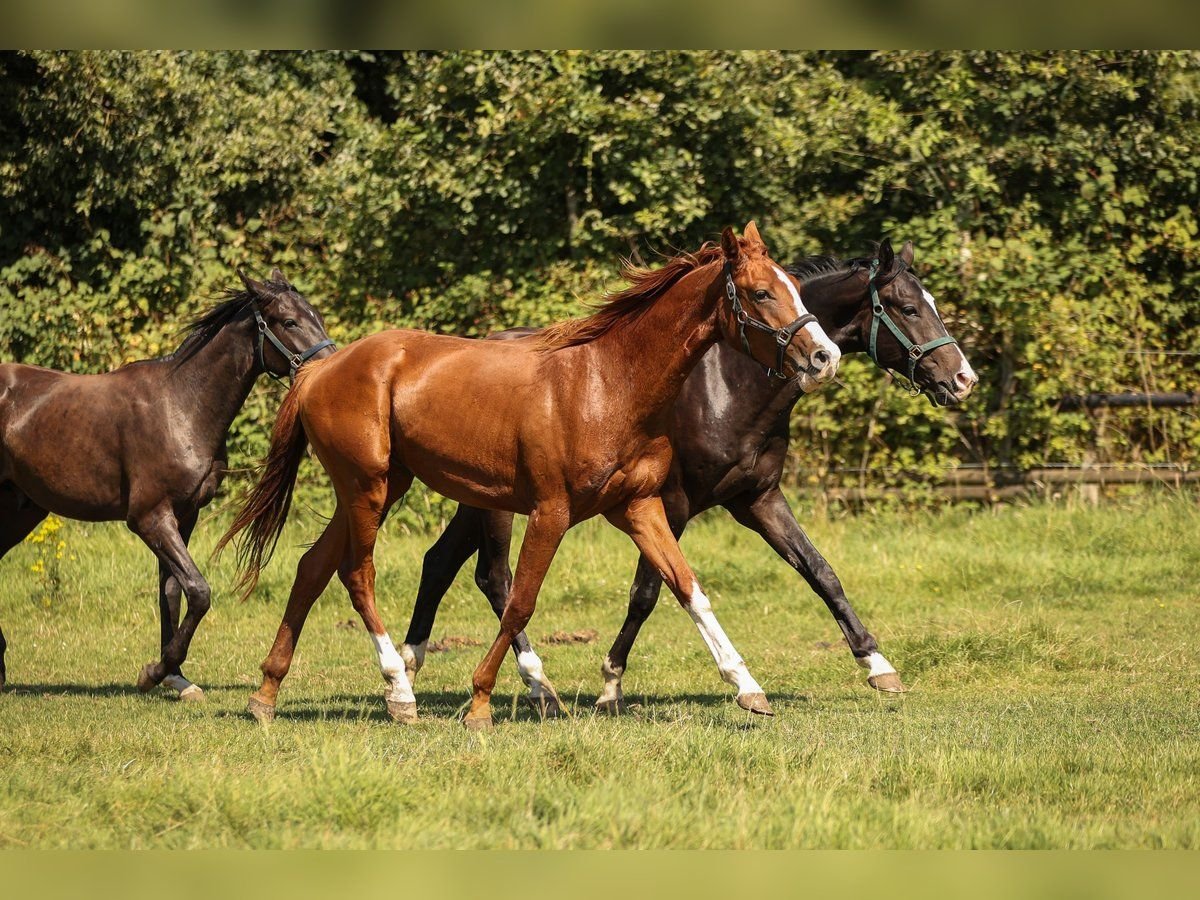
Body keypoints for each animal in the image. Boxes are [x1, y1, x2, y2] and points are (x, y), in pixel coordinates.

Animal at [0, 267, 333, 696]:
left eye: (317, 316)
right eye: (289, 321)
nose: (332, 369)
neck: (181, 406)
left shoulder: (183, 515)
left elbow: (172, 591)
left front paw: (176, 677)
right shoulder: (149, 519)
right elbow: (199, 591)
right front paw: (154, 672)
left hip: (22, 510)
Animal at [220, 222, 840, 729]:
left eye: (796, 287)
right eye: (762, 293)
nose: (824, 357)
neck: (609, 385)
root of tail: (320, 367)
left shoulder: (640, 508)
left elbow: (689, 590)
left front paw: (749, 689)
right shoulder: (551, 512)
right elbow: (520, 599)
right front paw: (480, 703)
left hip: (381, 486)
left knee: (312, 567)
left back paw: (266, 695)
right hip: (367, 488)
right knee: (357, 573)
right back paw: (399, 691)